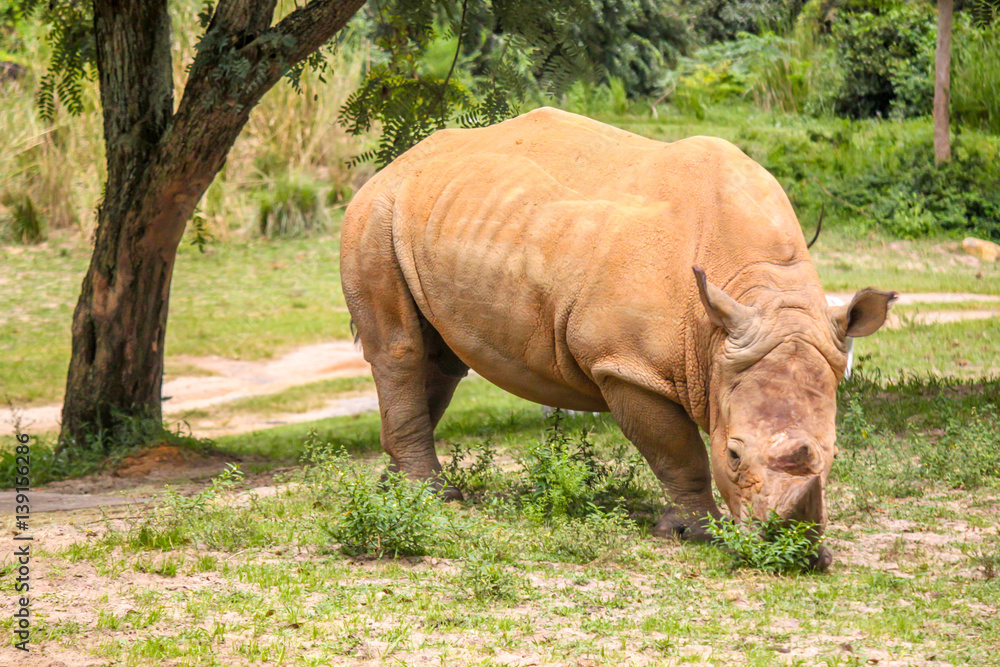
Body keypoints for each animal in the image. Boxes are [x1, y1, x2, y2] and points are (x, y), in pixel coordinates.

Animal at [340, 107, 896, 568]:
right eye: (734, 455)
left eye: (833, 455)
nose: (797, 557)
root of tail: (398, 161)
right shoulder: (627, 366)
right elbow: (677, 451)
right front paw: (692, 533)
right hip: (375, 213)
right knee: (400, 349)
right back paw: (436, 496)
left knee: (442, 359)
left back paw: (397, 486)